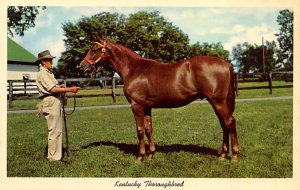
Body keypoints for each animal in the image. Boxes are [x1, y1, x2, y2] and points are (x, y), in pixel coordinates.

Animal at [79, 37, 239, 163]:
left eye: (94, 49)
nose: (82, 66)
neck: (134, 69)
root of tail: (227, 64)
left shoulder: (136, 105)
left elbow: (139, 129)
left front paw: (140, 157)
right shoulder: (147, 107)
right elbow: (149, 129)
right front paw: (151, 154)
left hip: (218, 102)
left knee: (229, 122)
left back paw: (234, 155)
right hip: (217, 102)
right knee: (224, 125)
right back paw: (223, 155)